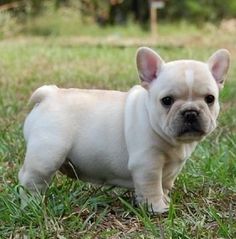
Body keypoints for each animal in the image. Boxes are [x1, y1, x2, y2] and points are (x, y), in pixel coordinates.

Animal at [18, 47, 230, 213]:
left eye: (210, 99)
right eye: (167, 100)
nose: (190, 112)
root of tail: (50, 94)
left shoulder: (170, 170)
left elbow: (165, 185)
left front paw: (166, 200)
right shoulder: (147, 164)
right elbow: (152, 187)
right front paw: (157, 208)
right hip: (47, 155)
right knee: (31, 179)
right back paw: (31, 204)